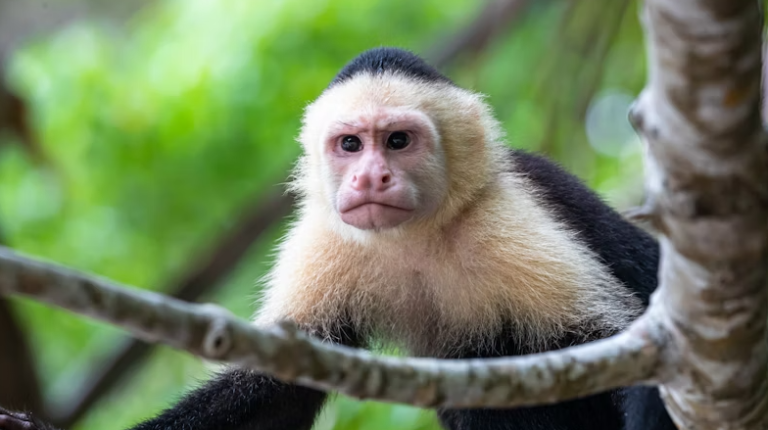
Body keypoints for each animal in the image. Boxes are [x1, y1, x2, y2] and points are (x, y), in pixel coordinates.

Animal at [0, 47, 675, 430]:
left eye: (397, 141)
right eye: (350, 144)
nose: (370, 176)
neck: (416, 240)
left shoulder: (511, 222)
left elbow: (625, 348)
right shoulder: (322, 240)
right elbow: (277, 388)